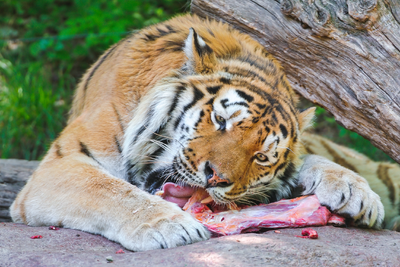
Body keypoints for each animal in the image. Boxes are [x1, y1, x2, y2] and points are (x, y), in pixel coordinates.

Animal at [10, 14, 394, 253]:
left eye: (261, 156)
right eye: (220, 120)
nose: (216, 178)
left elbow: (313, 159)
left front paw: (357, 194)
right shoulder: (62, 163)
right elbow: (111, 190)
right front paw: (170, 226)